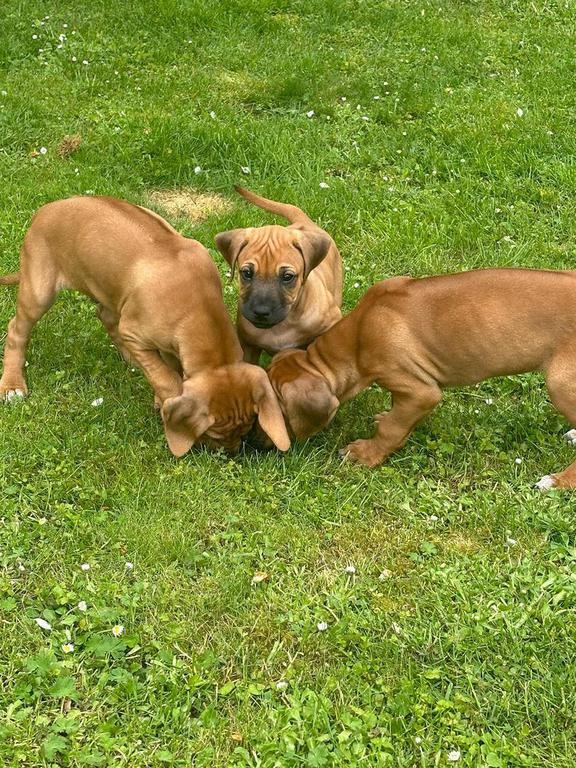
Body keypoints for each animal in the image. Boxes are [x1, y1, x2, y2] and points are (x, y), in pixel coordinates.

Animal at [0, 196, 290, 456]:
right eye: (214, 432)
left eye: (245, 428)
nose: (230, 453)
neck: (196, 302)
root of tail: (44, 210)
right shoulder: (134, 333)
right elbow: (166, 378)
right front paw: (166, 402)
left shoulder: (169, 342)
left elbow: (168, 367)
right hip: (39, 290)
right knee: (16, 329)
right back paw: (12, 384)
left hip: (111, 292)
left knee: (105, 316)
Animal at [214, 186, 343, 363]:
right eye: (246, 273)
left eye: (287, 277)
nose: (261, 312)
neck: (283, 325)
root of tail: (304, 222)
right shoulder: (248, 346)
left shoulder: (332, 322)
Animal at [266, 268, 576, 489]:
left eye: (277, 411)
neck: (359, 335)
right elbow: (396, 415)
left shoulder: (421, 391)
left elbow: (391, 429)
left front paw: (366, 454)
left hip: (560, 383)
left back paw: (558, 481)